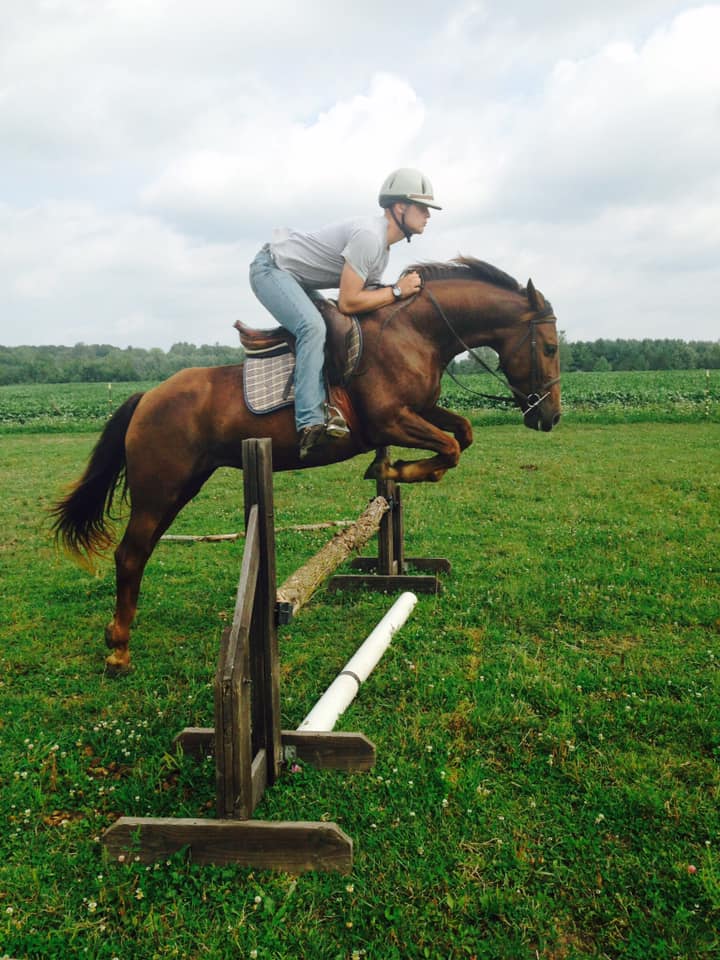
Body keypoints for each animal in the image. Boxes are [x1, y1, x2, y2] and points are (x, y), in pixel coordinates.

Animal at [52, 258, 564, 672]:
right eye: (551, 348)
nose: (551, 417)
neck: (415, 332)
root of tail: (146, 397)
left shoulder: (417, 412)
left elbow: (463, 434)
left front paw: (395, 471)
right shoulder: (391, 420)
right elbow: (451, 449)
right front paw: (391, 471)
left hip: (180, 488)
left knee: (139, 553)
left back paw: (117, 636)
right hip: (160, 489)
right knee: (130, 554)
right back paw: (119, 650)